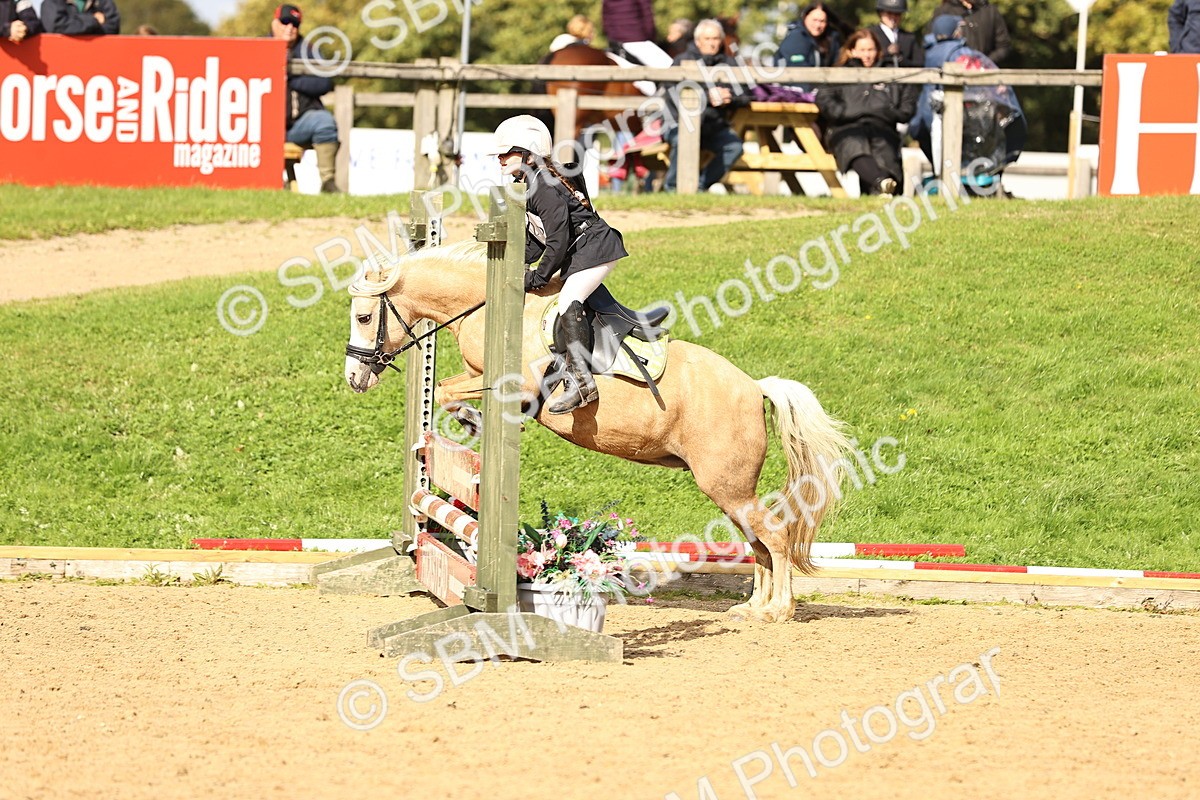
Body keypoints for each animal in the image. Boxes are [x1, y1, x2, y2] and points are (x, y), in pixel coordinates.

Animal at [343, 240, 852, 623]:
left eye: (364, 318)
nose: (354, 378)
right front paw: (455, 426)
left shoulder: (516, 385)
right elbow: (449, 388)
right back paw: (752, 607)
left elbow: (448, 391)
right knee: (760, 542)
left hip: (727, 484)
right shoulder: (481, 374)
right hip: (729, 490)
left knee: (776, 537)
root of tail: (755, 387)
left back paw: (778, 610)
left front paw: (470, 421)